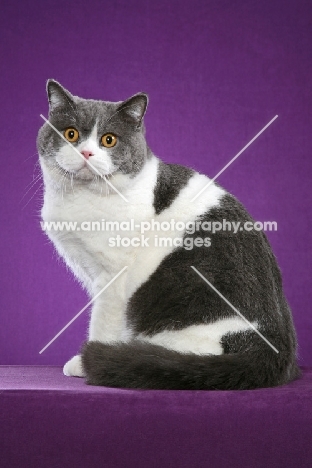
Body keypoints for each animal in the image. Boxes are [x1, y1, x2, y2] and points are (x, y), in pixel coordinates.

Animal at [37, 81, 300, 392]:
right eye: (71, 134)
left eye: (109, 140)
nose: (86, 153)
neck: (81, 198)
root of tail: (277, 350)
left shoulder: (113, 277)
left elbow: (103, 321)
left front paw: (85, 361)